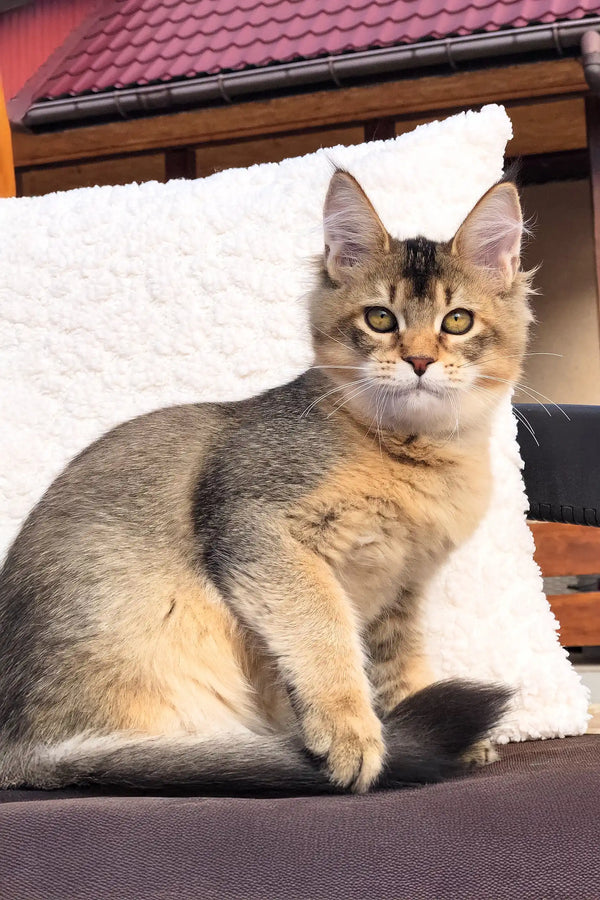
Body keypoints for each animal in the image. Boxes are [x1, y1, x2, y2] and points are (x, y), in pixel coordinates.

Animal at [0, 169, 528, 796]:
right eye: (380, 319)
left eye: (457, 321)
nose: (420, 361)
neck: (410, 457)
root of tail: (19, 753)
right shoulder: (258, 527)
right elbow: (324, 630)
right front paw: (352, 731)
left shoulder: (401, 591)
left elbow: (402, 668)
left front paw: (439, 729)